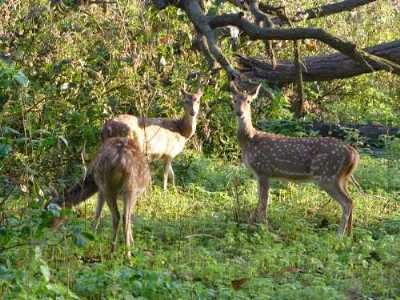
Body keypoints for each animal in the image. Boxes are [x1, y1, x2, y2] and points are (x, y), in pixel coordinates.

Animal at [231, 81, 360, 236]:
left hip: (328, 176)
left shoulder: (263, 170)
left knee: (347, 203)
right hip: (341, 178)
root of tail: (353, 154)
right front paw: (253, 225)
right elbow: (259, 203)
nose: (239, 113)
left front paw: (265, 229)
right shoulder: (258, 174)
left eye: (249, 101)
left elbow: (263, 205)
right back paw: (349, 235)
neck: (249, 140)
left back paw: (339, 235)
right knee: (352, 200)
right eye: (234, 100)